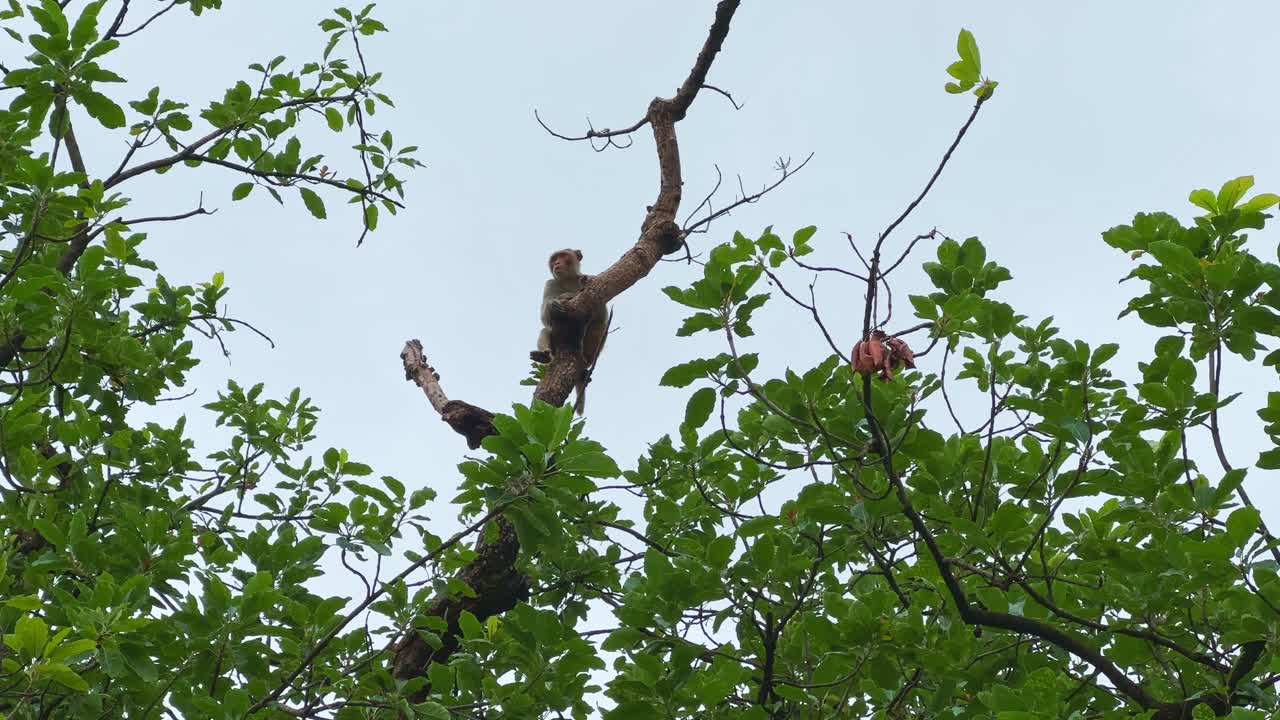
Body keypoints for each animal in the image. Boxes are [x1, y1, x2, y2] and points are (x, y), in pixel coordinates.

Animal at [531, 248, 610, 415]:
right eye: (554, 259)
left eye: (563, 256)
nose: (557, 263)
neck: (568, 281)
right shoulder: (550, 283)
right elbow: (545, 317)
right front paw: (554, 303)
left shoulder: (592, 278)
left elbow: (601, 314)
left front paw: (575, 290)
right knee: (545, 331)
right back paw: (543, 356)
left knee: (599, 328)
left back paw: (587, 358)